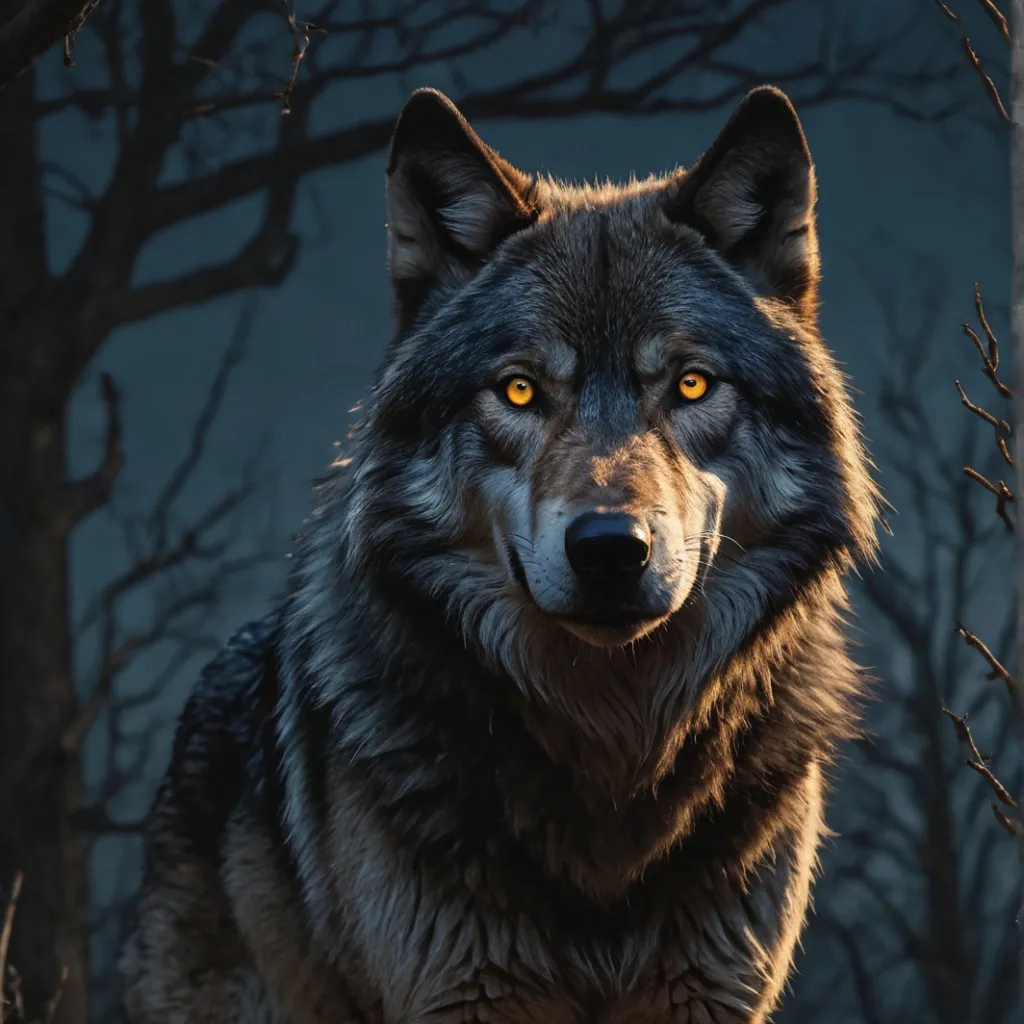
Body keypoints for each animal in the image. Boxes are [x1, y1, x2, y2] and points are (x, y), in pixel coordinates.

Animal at [121, 84, 880, 1024]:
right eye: (519, 390)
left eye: (691, 384)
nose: (610, 549)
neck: (613, 757)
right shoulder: (461, 993)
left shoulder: (707, 993)